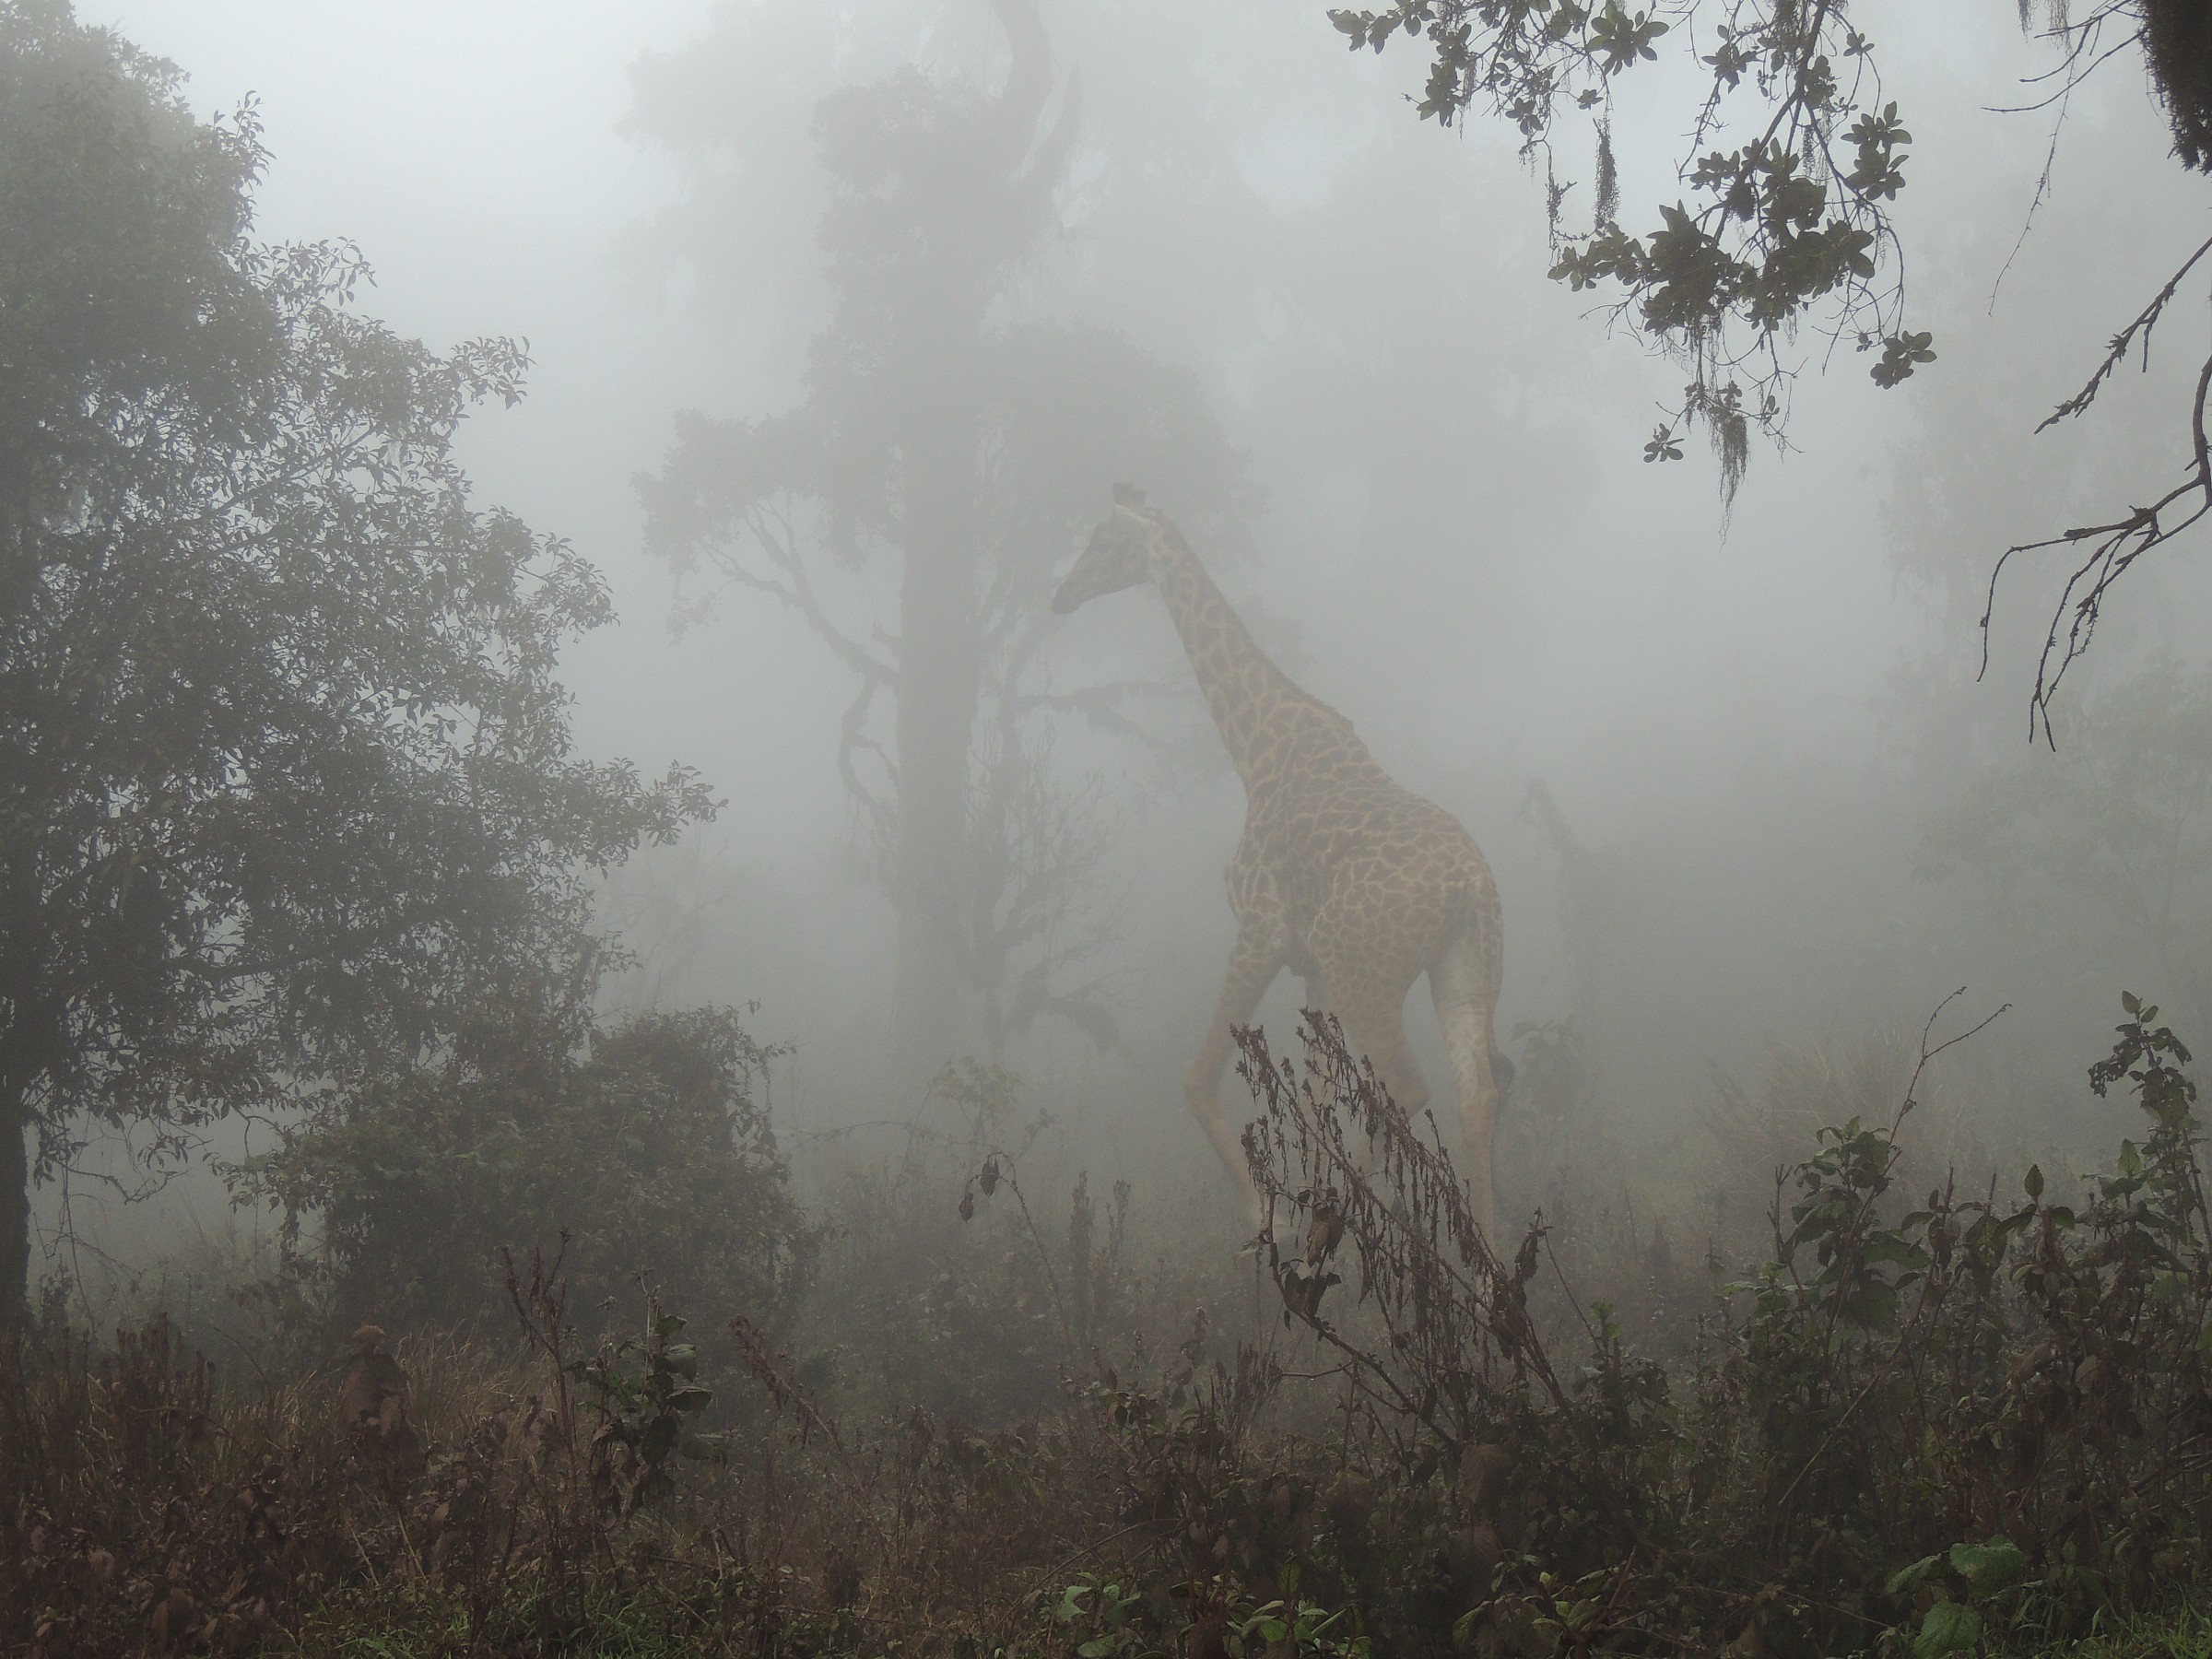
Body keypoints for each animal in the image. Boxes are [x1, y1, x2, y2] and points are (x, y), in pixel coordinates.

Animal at [1052, 485, 1511, 1239]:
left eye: (1100, 539)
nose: (1061, 593)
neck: (1255, 744)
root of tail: (1472, 886)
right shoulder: (1311, 968)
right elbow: (1321, 1107)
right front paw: (1307, 1214)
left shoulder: (1261, 931)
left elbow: (1195, 1079)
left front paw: (1268, 1218)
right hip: (1464, 971)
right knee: (1478, 1101)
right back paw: (1483, 1266)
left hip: (1367, 973)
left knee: (1408, 1088)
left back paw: (1345, 1228)